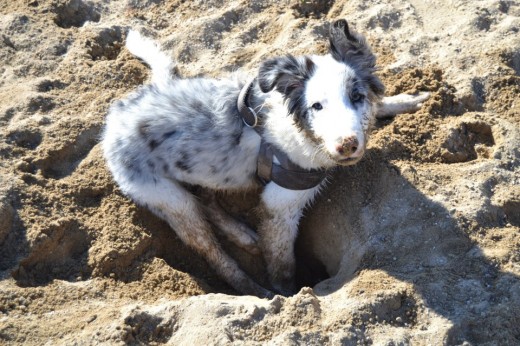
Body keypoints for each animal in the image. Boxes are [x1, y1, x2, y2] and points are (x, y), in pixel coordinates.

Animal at [102, 19, 430, 298]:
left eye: (357, 97)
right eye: (317, 106)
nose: (346, 145)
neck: (303, 132)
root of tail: (115, 118)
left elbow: (380, 104)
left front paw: (409, 100)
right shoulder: (280, 204)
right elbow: (282, 262)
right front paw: (287, 294)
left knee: (208, 198)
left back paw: (245, 236)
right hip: (168, 198)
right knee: (212, 252)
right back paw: (253, 288)